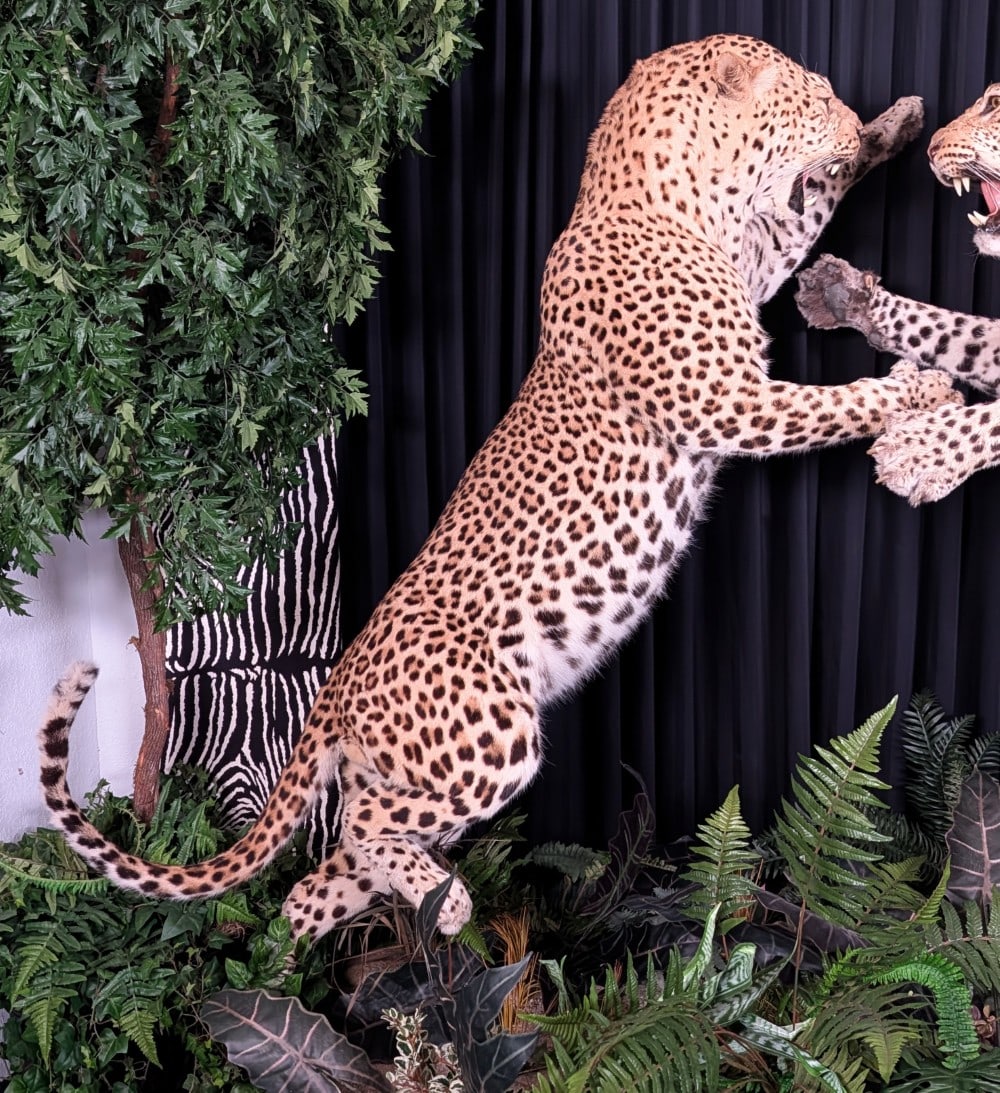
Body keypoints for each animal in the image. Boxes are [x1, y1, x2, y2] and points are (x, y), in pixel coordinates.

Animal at [38, 34, 961, 943]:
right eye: (814, 95)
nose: (847, 114)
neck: (670, 197)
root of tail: (336, 681)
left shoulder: (755, 268)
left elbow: (806, 216)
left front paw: (896, 127)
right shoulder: (726, 399)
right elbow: (832, 403)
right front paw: (919, 386)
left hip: (425, 778)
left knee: (323, 871)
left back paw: (351, 932)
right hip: (493, 738)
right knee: (361, 825)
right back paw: (443, 906)